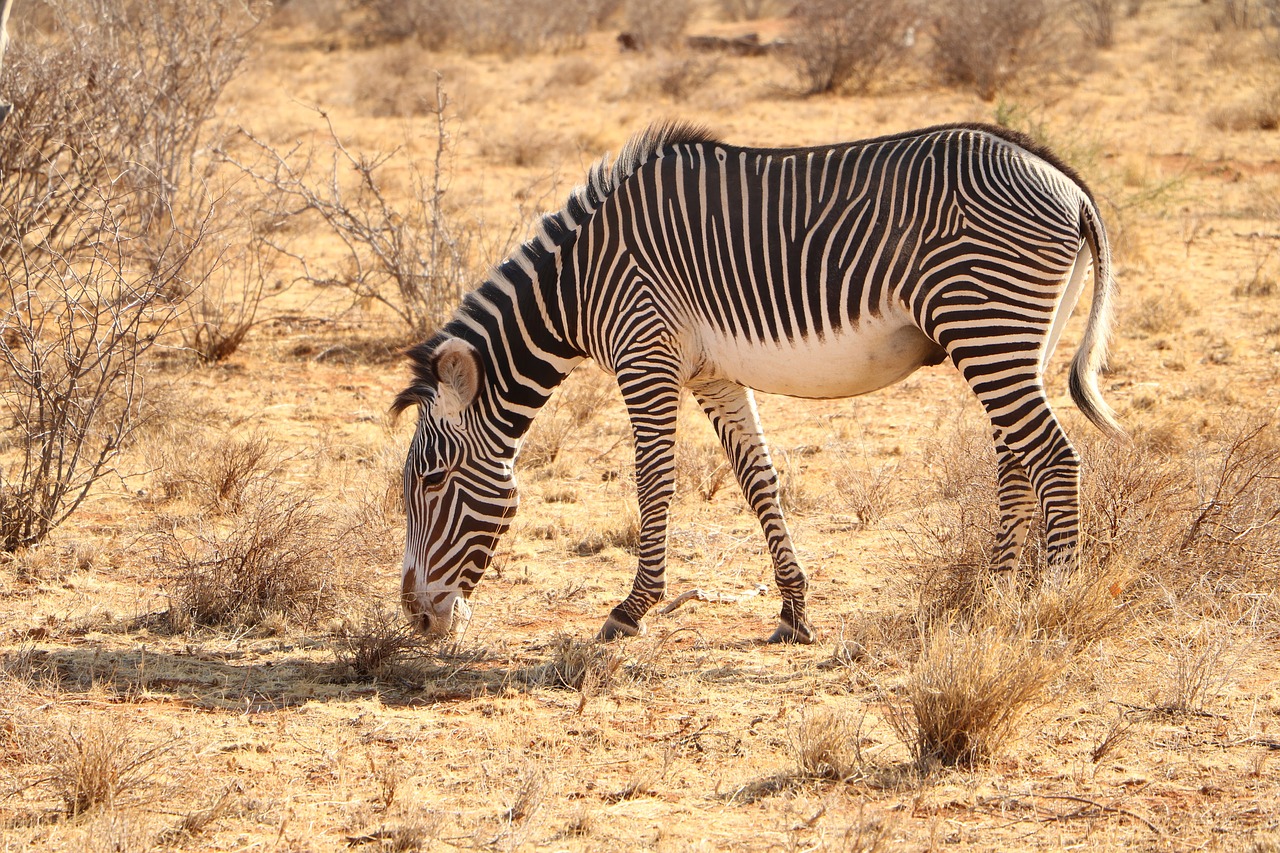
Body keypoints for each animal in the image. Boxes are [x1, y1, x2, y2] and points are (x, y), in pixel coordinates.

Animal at [391, 121, 1121, 645]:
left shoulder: (645, 354)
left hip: (986, 323)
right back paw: (991, 597)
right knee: (1016, 458)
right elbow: (757, 477)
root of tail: (1065, 180)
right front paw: (795, 608)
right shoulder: (713, 374)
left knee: (1053, 458)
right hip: (1012, 337)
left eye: (429, 480)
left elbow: (653, 483)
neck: (578, 281)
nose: (416, 618)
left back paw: (1052, 601)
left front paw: (631, 609)